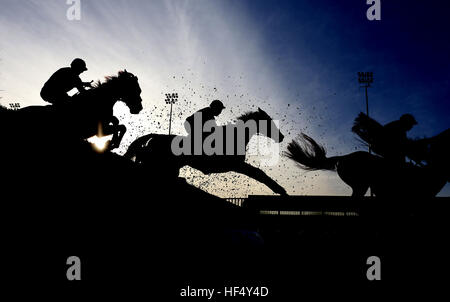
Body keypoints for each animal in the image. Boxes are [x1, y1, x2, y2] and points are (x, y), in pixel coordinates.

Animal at [125, 107, 286, 195]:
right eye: (268, 121)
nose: (282, 136)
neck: (235, 137)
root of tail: (156, 135)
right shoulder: (236, 165)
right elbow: (259, 173)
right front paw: (281, 190)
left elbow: (258, 174)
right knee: (143, 157)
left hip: (169, 164)